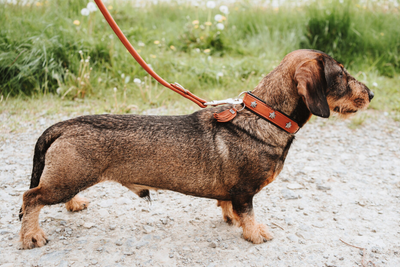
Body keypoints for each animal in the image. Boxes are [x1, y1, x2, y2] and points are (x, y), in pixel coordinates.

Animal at [19, 49, 376, 250]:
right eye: (341, 75)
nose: (371, 94)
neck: (265, 117)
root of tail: (66, 124)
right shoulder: (245, 191)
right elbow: (248, 214)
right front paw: (255, 233)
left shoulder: (234, 191)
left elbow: (229, 207)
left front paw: (231, 218)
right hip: (66, 179)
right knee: (31, 198)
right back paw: (31, 236)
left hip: (70, 178)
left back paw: (74, 203)